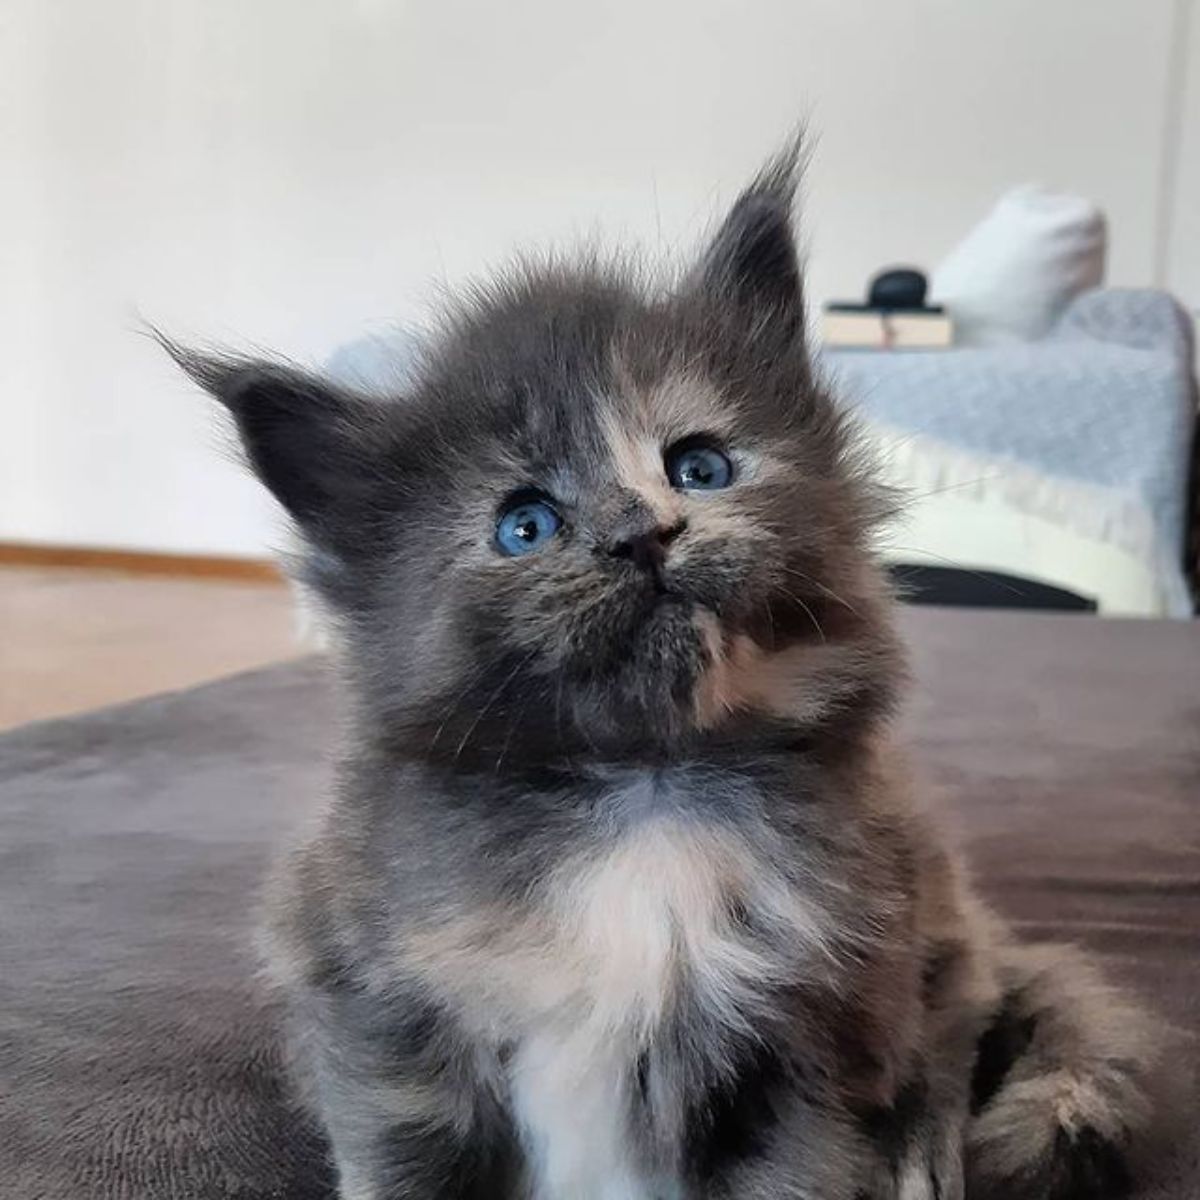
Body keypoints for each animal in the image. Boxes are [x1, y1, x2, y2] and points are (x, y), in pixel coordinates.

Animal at [171, 145, 1161, 1195]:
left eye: (699, 468)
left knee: (947, 1051)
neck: (645, 791)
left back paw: (921, 1159)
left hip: (934, 927)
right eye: (526, 526)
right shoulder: (377, 1007)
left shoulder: (808, 1043)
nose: (644, 533)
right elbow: (402, 1157)